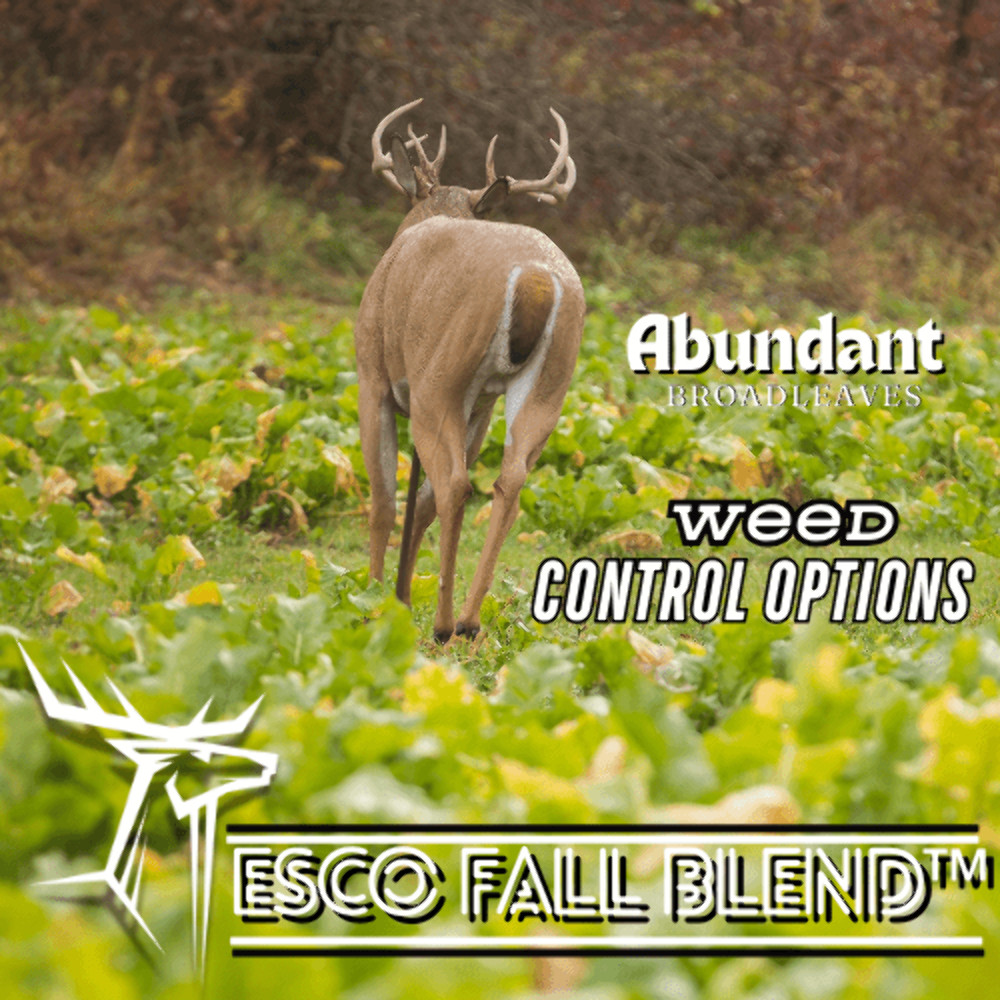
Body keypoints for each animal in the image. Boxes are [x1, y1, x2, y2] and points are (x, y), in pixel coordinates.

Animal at [356, 99, 585, 642]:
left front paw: (373, 598)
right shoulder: (480, 405)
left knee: (455, 484)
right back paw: (468, 619)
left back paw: (443, 623)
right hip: (547, 385)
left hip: (439, 376)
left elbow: (385, 498)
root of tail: (537, 278)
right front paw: (399, 596)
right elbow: (416, 501)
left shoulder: (372, 376)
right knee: (510, 479)